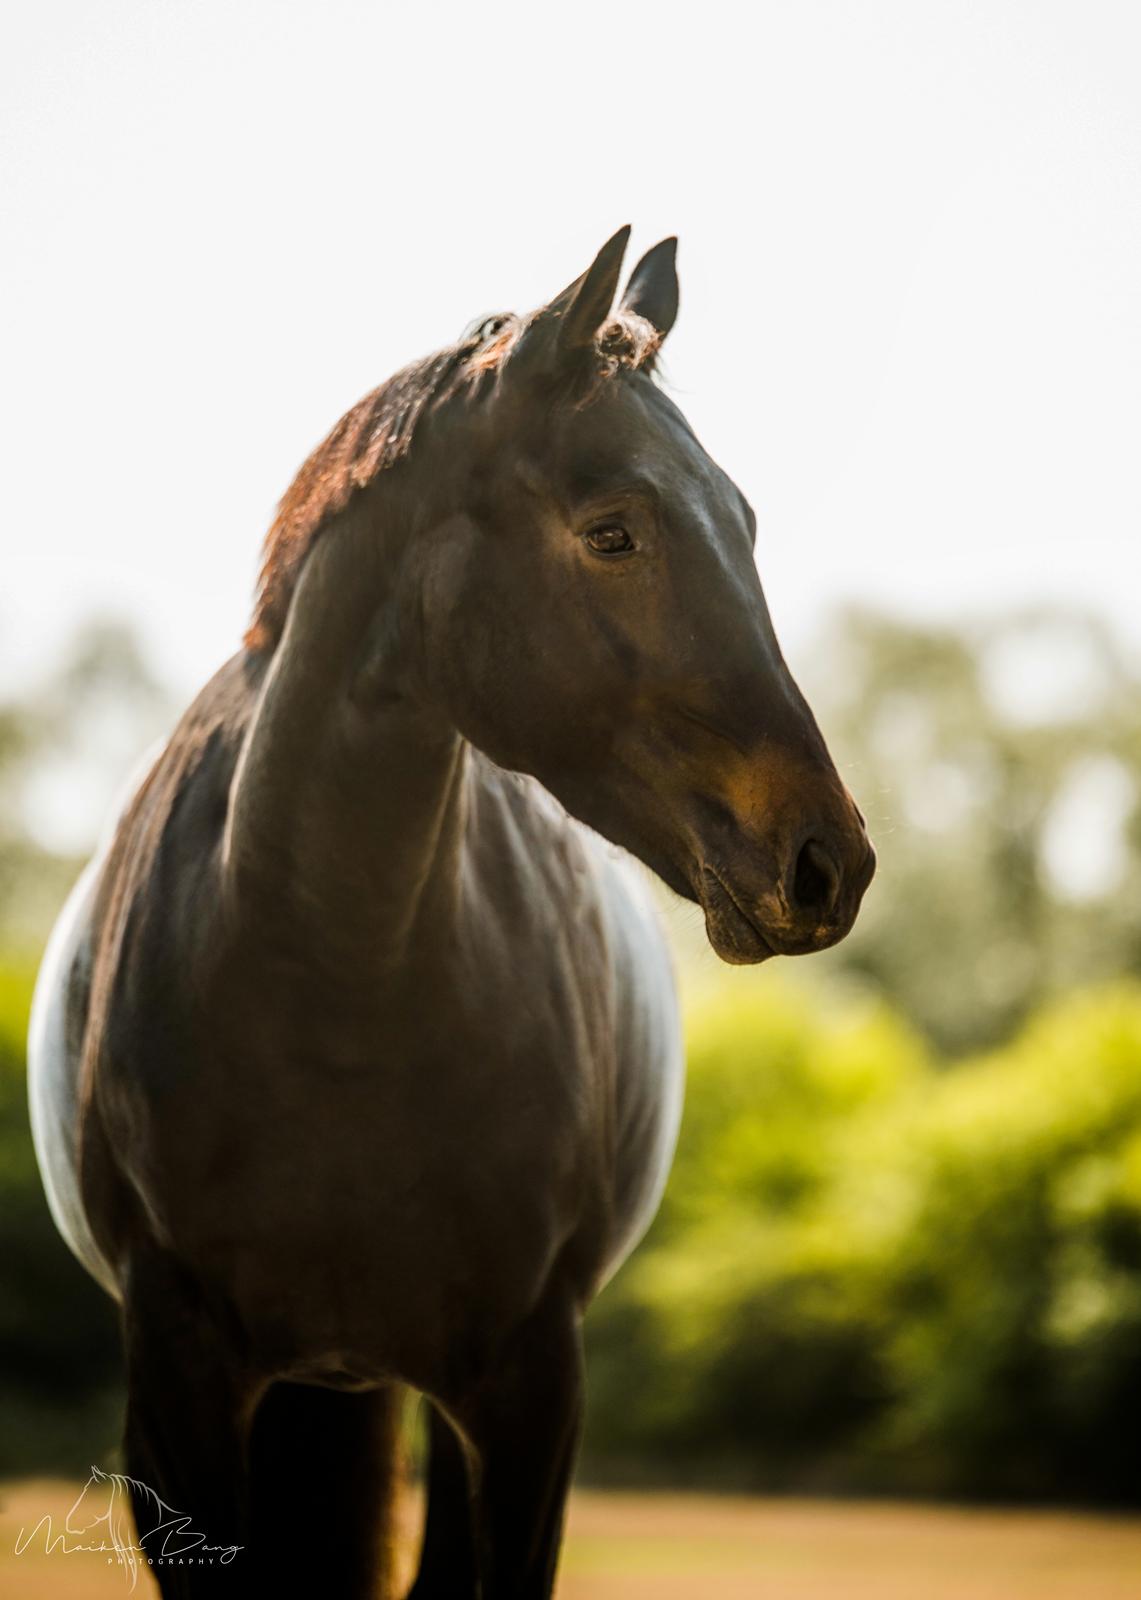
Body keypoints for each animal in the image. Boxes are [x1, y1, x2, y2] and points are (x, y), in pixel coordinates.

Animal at [33, 228, 870, 1600]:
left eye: (742, 521)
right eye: (613, 531)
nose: (825, 863)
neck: (325, 980)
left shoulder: (529, 1389)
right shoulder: (175, 1392)